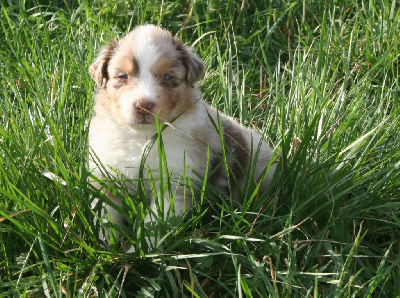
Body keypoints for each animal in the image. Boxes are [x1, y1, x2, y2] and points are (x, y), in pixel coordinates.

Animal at [88, 24, 276, 250]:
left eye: (169, 77)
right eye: (122, 76)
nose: (143, 105)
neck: (142, 139)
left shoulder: (175, 184)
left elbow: (153, 225)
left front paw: (138, 252)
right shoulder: (106, 175)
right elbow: (106, 217)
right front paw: (105, 248)